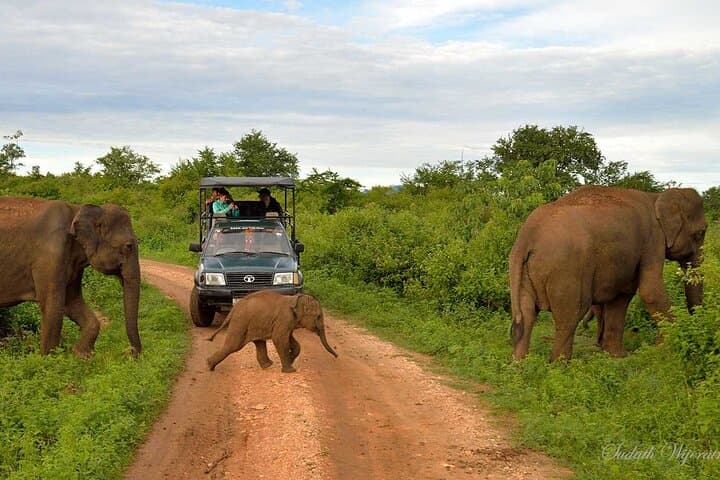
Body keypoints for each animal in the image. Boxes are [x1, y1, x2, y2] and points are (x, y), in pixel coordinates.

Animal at [0, 197, 141, 357]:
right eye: (129, 246)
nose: (129, 351)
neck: (77, 210)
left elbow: (72, 301)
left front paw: (82, 355)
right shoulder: (51, 255)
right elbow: (52, 305)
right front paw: (48, 359)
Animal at [206, 290, 338, 372]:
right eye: (319, 316)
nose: (337, 356)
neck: (295, 299)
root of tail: (233, 310)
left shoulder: (288, 322)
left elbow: (291, 340)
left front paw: (290, 360)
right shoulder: (284, 318)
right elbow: (279, 338)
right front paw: (290, 370)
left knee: (259, 342)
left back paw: (267, 365)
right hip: (240, 322)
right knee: (233, 346)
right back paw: (209, 366)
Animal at [510, 186, 706, 361]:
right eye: (700, 233)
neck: (657, 196)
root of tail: (526, 238)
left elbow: (620, 296)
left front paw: (617, 356)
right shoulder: (652, 240)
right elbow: (650, 292)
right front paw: (663, 347)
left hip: (523, 271)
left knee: (527, 316)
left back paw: (519, 366)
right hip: (566, 271)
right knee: (570, 316)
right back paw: (559, 366)